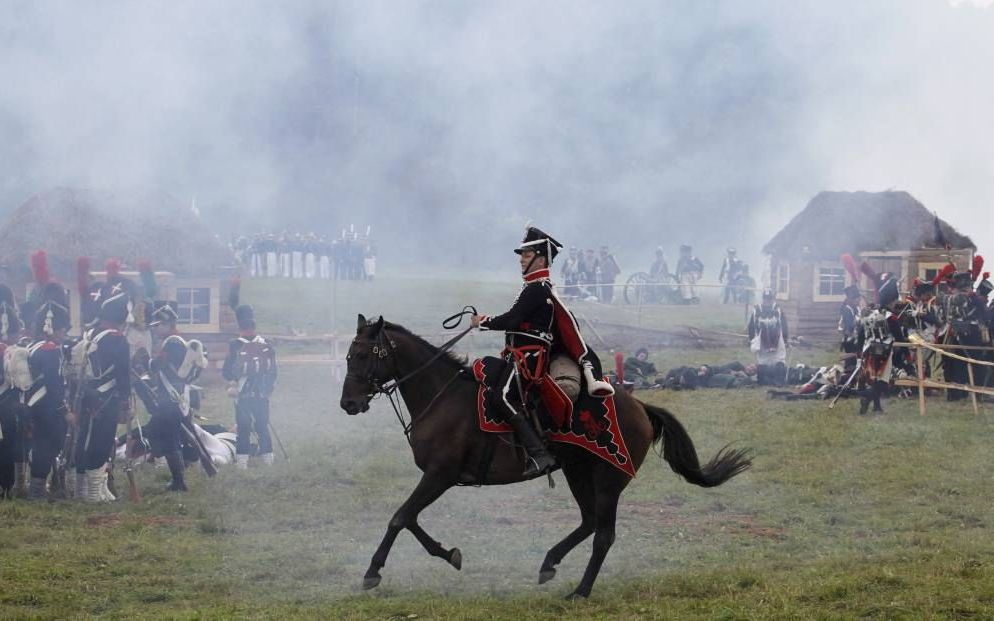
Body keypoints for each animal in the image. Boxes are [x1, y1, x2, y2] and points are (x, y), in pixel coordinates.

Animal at [338, 318, 748, 600]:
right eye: (348, 355)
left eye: (362, 355)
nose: (348, 403)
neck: (442, 396)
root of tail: (640, 407)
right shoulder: (438, 478)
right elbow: (409, 520)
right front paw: (449, 553)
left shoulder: (440, 475)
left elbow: (400, 517)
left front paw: (373, 571)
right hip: (577, 472)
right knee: (588, 522)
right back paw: (549, 563)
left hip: (608, 479)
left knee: (603, 534)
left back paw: (580, 592)